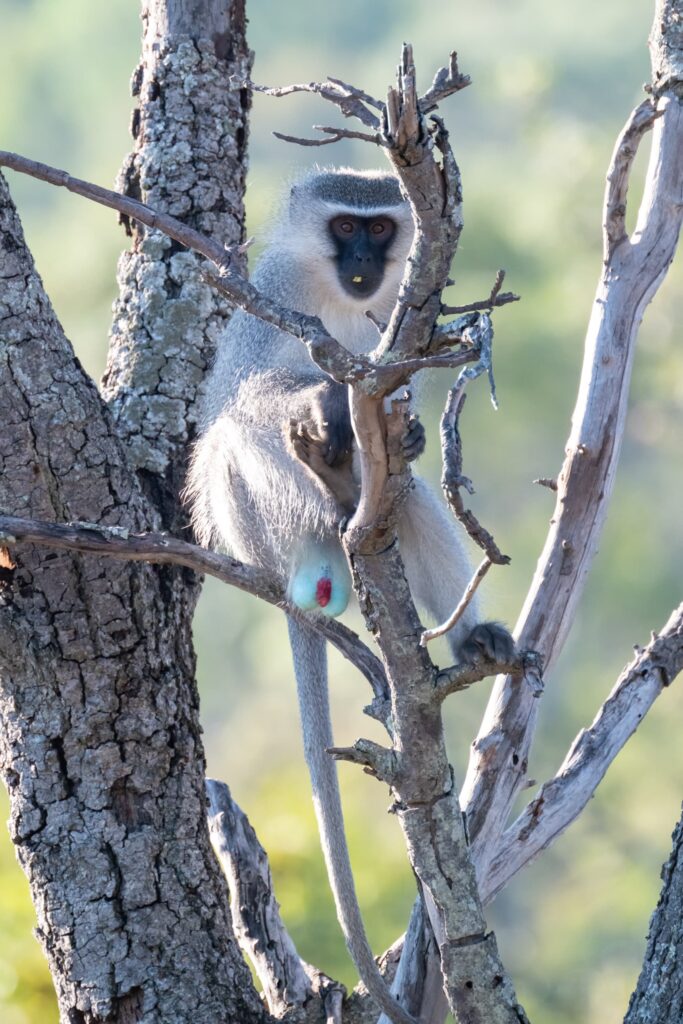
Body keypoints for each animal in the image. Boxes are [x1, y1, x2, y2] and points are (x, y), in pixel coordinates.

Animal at [187, 169, 511, 1024]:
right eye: (343, 227)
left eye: (378, 229)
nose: (365, 263)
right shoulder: (274, 293)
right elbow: (250, 392)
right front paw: (321, 409)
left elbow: (399, 422)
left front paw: (403, 431)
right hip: (261, 522)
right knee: (243, 434)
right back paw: (329, 463)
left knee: (404, 492)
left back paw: (467, 638)